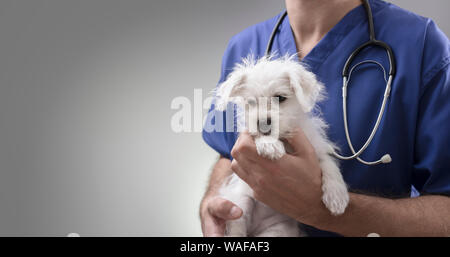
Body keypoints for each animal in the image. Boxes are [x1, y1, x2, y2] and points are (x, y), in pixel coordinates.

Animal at [214, 55, 348, 236]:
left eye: (280, 98)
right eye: (251, 102)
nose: (263, 122)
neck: (283, 138)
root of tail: (256, 229)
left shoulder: (316, 149)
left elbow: (329, 165)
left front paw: (337, 196)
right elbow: (258, 136)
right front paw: (270, 145)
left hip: (278, 230)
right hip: (240, 204)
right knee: (237, 228)